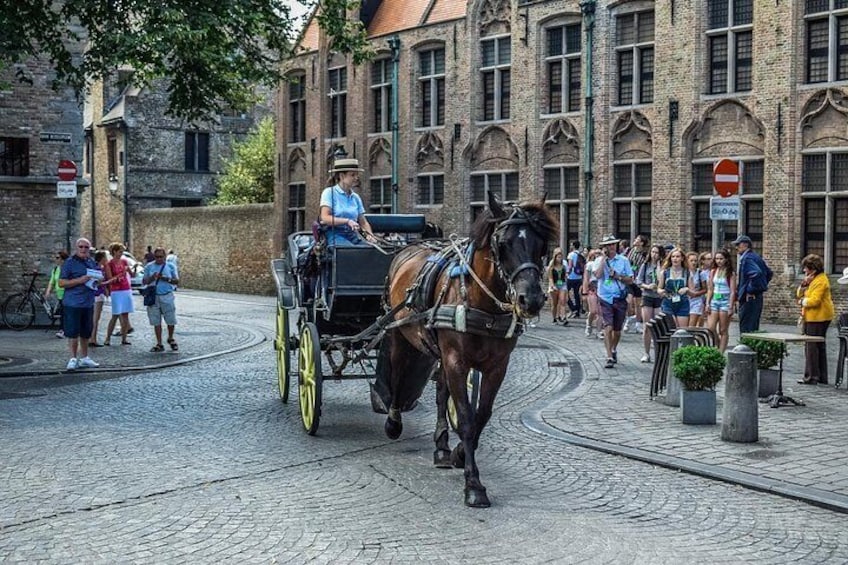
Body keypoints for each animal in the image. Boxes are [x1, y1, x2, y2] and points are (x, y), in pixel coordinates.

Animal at [376, 191, 560, 506]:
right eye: (503, 243)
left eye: (541, 244)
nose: (532, 299)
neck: (482, 303)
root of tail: (406, 249)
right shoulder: (456, 361)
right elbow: (464, 417)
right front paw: (473, 485)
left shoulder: (497, 366)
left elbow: (480, 416)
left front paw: (460, 454)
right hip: (401, 334)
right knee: (398, 375)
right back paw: (394, 422)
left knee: (440, 393)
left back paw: (441, 448)